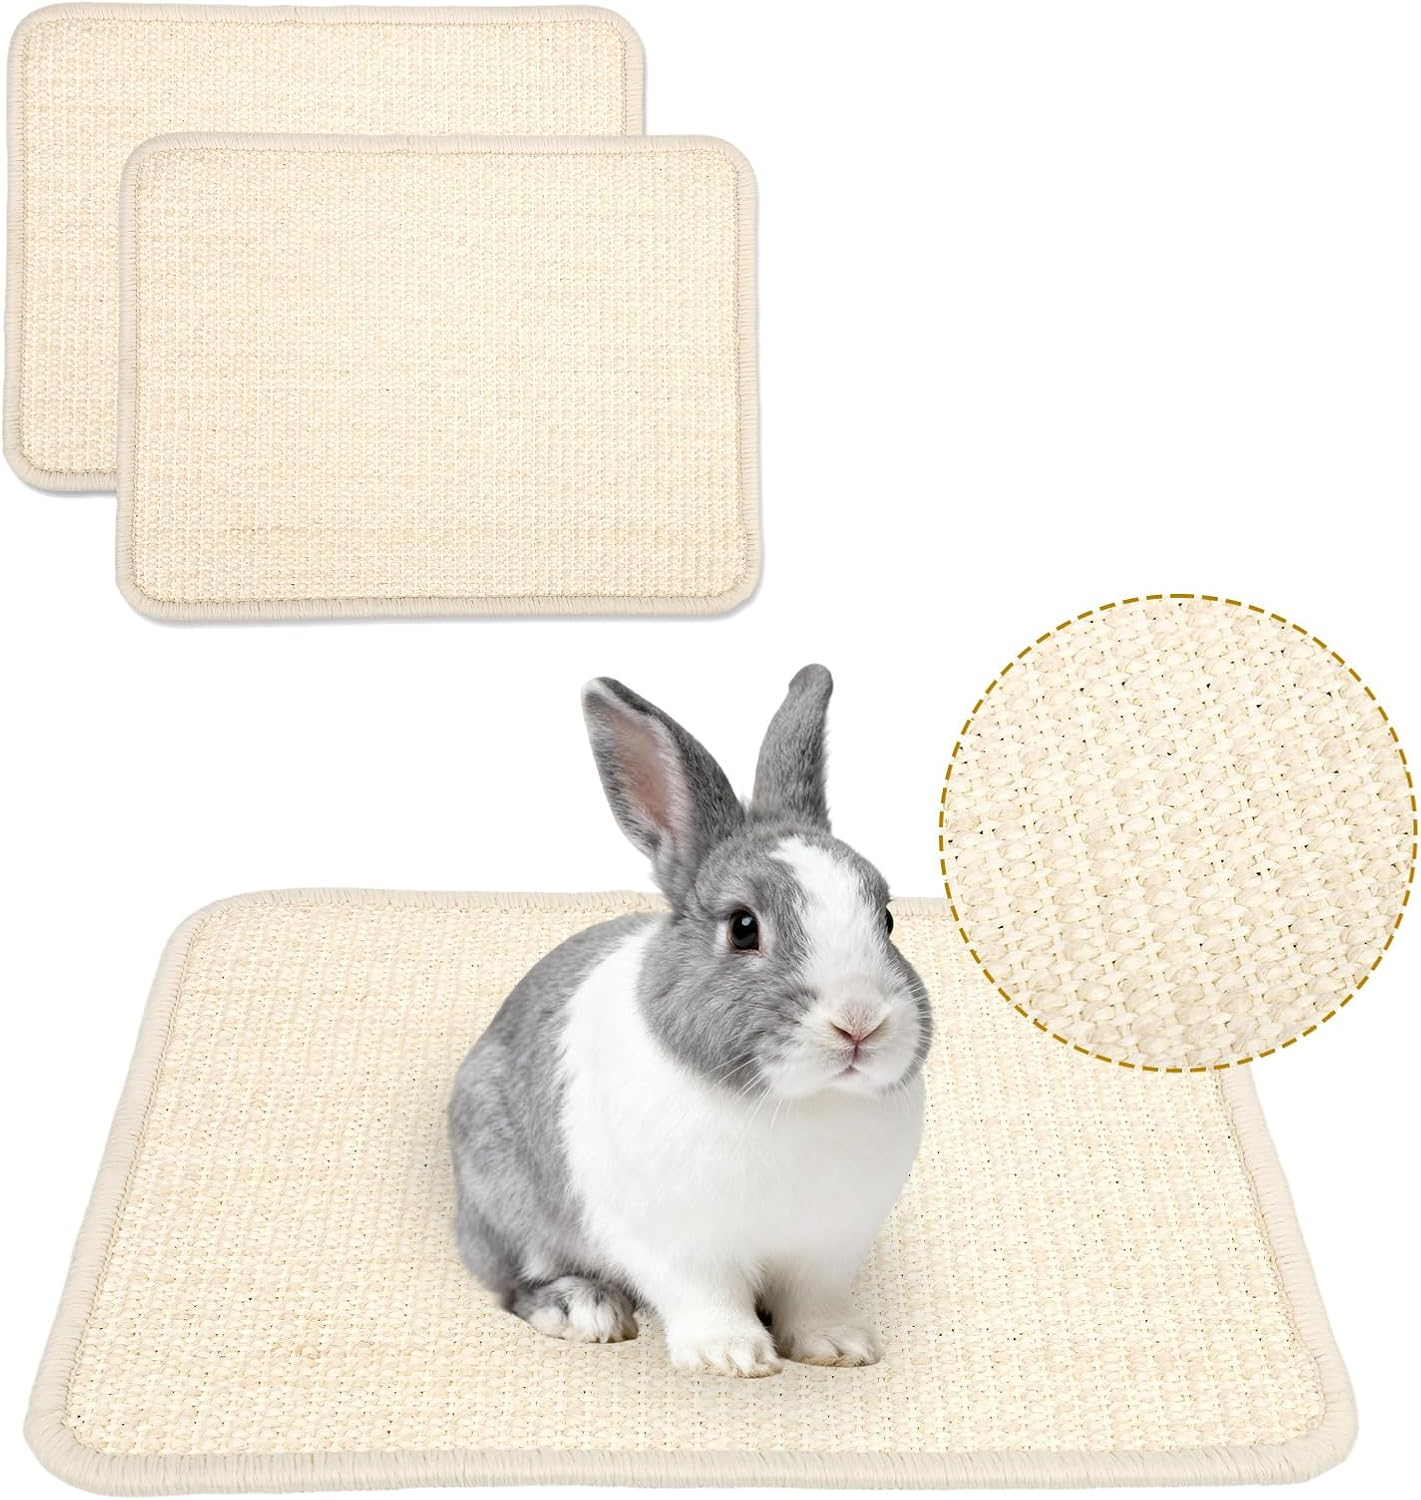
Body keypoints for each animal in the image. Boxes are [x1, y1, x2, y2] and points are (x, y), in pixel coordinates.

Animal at [448, 665, 932, 1377]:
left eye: (888, 919)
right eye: (743, 927)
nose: (859, 1023)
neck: (800, 1105)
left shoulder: (826, 1248)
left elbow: (813, 1304)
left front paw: (840, 1348)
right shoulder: (678, 1246)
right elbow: (706, 1298)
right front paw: (731, 1357)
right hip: (503, 1195)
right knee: (514, 1279)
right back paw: (584, 1309)